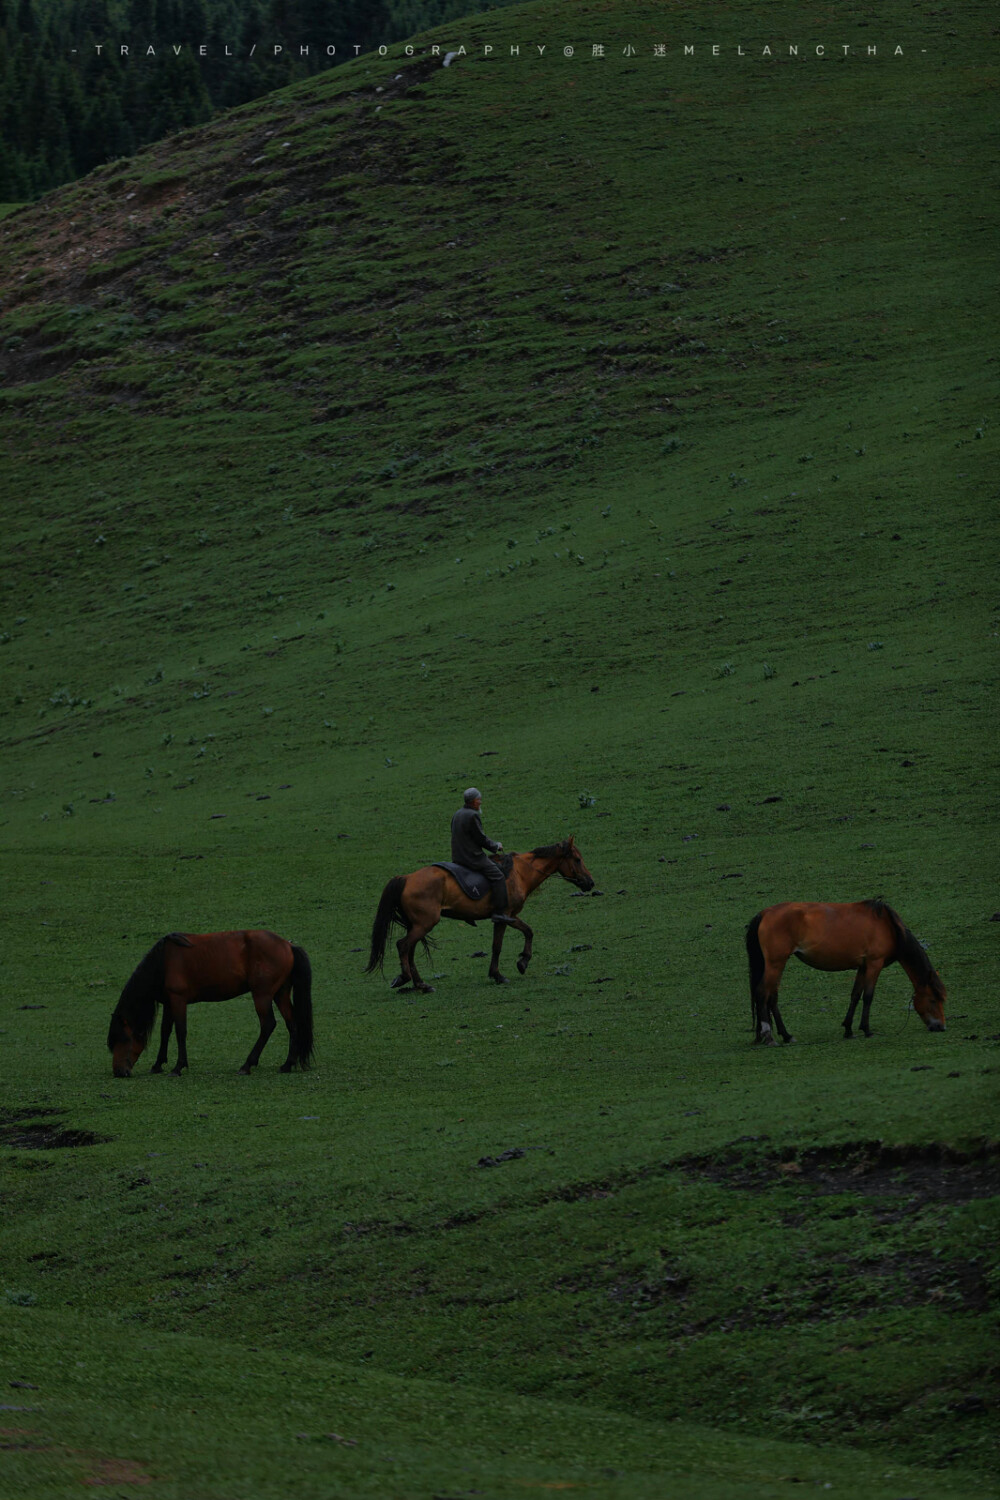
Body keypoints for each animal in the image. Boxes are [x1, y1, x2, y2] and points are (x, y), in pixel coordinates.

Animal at [107, 924, 314, 1080]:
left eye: (123, 1038)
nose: (119, 1072)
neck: (163, 962)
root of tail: (287, 945)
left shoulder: (178, 1000)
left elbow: (180, 1031)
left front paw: (178, 1067)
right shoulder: (169, 1002)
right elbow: (165, 1031)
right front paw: (158, 1064)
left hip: (262, 995)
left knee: (268, 1025)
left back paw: (247, 1065)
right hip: (280, 993)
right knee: (292, 1024)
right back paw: (287, 1064)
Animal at [371, 840, 599, 990]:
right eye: (577, 860)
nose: (590, 882)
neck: (519, 872)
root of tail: (407, 878)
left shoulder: (508, 916)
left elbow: (526, 932)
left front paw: (519, 963)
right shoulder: (504, 916)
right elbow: (501, 944)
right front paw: (504, 972)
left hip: (417, 925)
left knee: (409, 949)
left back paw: (420, 983)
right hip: (424, 924)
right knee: (403, 946)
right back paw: (406, 978)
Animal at [746, 900, 953, 1044]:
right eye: (933, 999)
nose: (941, 1027)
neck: (888, 926)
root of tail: (764, 913)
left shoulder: (863, 966)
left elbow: (855, 995)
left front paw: (848, 1030)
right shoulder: (874, 963)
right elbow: (868, 996)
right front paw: (867, 1030)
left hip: (777, 964)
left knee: (772, 997)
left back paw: (785, 1035)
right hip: (776, 963)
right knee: (762, 993)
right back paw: (769, 1037)